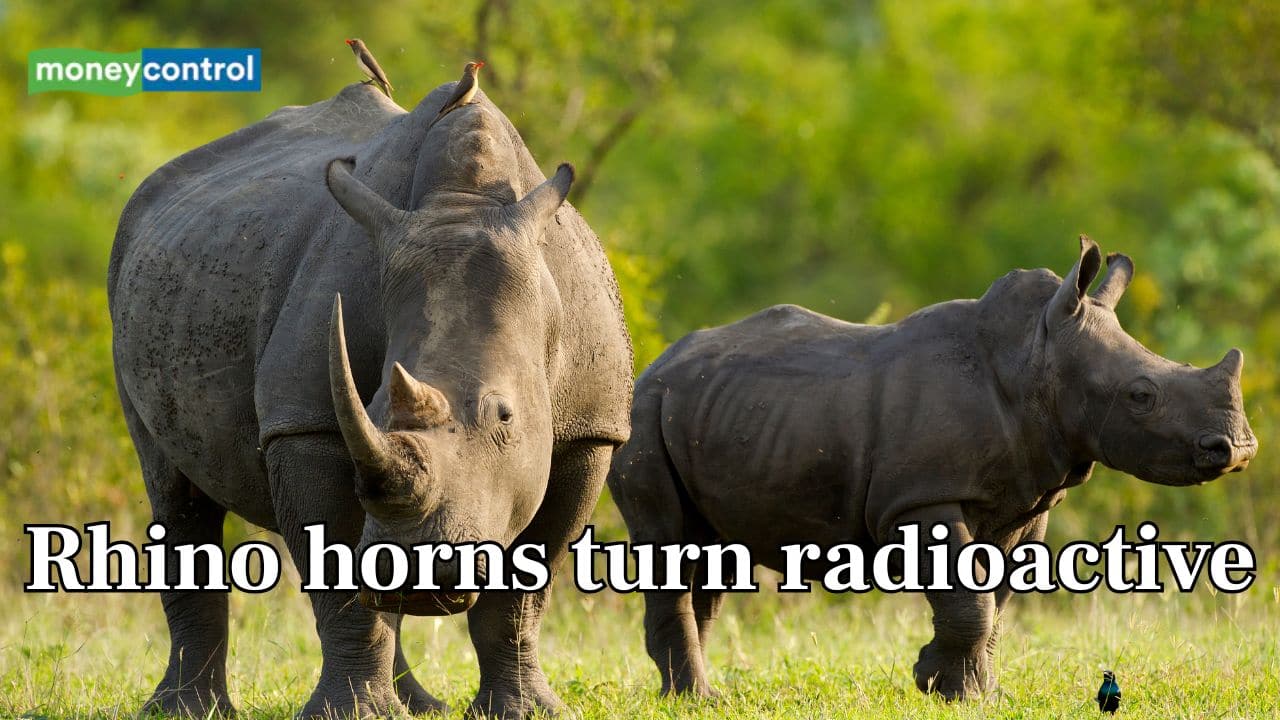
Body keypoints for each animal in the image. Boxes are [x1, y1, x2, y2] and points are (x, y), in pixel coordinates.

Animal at [109, 83, 631, 718]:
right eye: (375, 406)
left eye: (504, 415)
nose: (417, 575)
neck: (462, 204)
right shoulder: (306, 424)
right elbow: (338, 572)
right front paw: (351, 713)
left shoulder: (590, 430)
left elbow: (525, 590)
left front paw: (525, 711)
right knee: (173, 489)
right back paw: (187, 710)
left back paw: (420, 705)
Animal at [607, 236, 1256, 700]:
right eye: (1141, 396)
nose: (1239, 449)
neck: (1036, 357)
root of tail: (653, 365)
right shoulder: (922, 496)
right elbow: (969, 599)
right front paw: (945, 689)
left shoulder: (1024, 498)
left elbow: (995, 600)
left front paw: (969, 690)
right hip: (643, 417)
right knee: (668, 539)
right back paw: (695, 699)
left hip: (711, 410)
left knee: (711, 552)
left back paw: (693, 695)